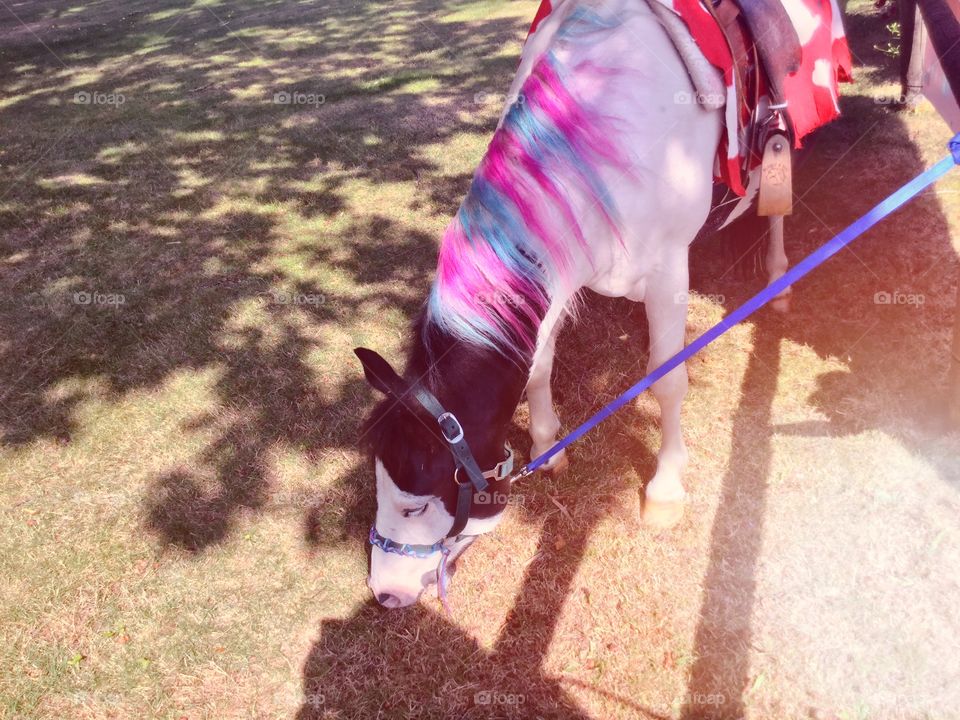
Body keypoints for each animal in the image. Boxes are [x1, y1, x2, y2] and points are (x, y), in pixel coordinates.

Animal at [355, 0, 797, 609]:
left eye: (416, 501)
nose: (384, 592)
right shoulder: (558, 271)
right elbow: (538, 367)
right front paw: (548, 445)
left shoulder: (669, 270)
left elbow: (668, 378)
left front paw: (665, 489)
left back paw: (778, 274)